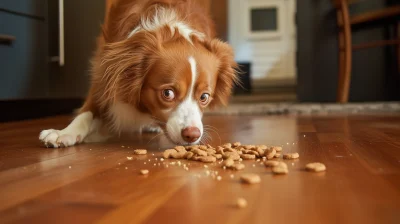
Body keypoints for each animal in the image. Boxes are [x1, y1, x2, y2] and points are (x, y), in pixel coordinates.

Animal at [39, 0, 238, 148]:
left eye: (204, 97)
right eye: (167, 93)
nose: (192, 135)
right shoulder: (106, 71)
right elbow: (88, 110)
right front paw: (65, 133)